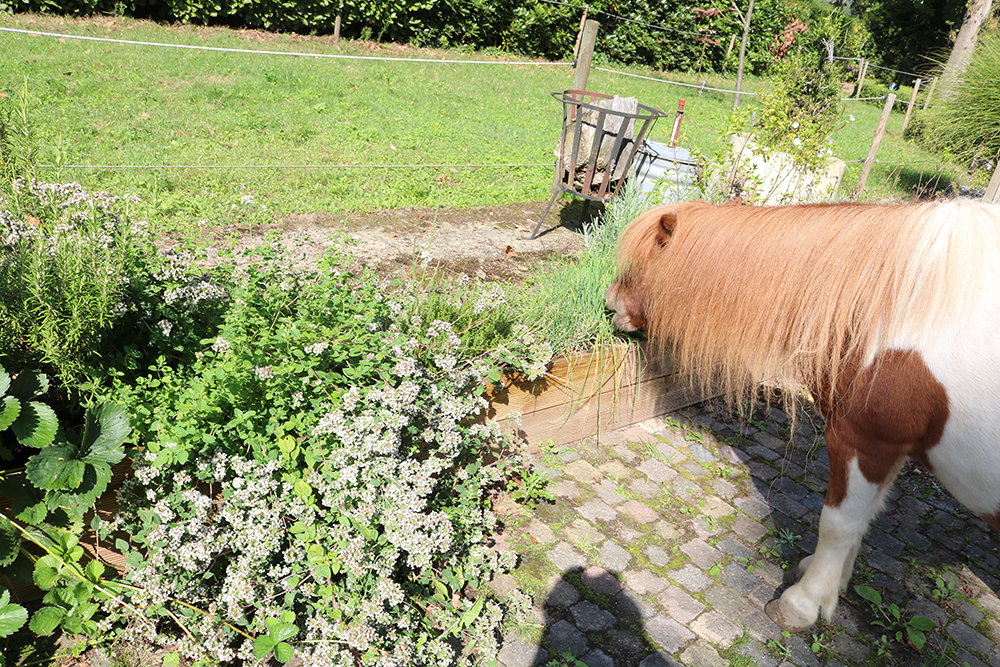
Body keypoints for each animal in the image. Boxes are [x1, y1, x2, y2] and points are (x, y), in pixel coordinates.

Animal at [604, 198, 1000, 632]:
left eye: (643, 258)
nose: (609, 303)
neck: (898, 305)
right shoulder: (892, 450)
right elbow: (864, 519)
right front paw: (829, 584)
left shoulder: (864, 442)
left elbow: (838, 524)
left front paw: (803, 603)